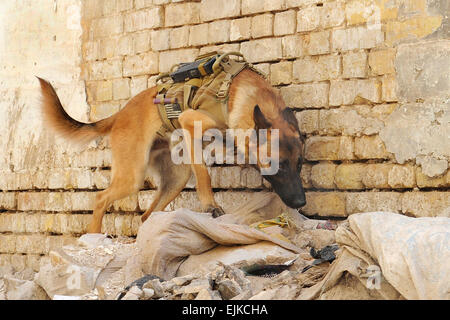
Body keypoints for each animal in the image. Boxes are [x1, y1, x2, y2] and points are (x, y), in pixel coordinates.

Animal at [37, 65, 306, 235]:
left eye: (299, 164)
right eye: (277, 165)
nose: (301, 202)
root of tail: (120, 114)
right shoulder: (190, 122)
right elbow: (204, 174)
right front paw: (210, 206)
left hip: (176, 179)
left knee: (147, 216)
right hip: (132, 175)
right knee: (101, 198)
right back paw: (93, 237)